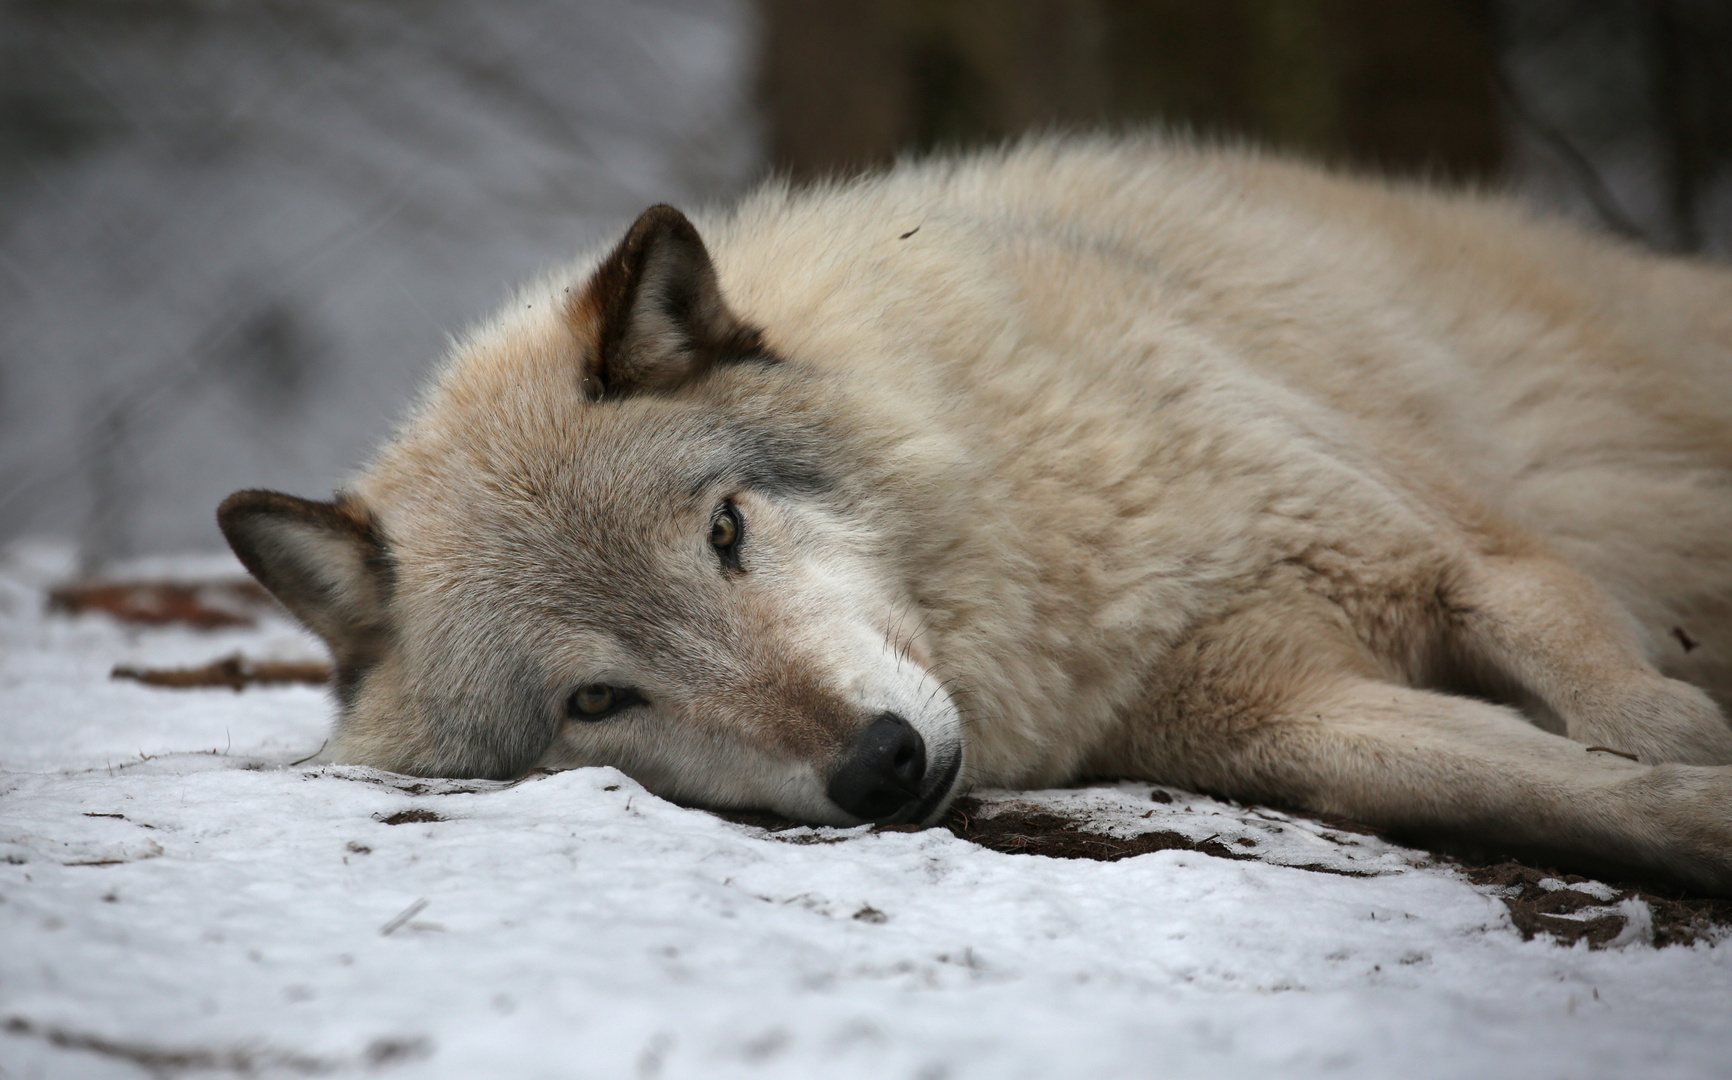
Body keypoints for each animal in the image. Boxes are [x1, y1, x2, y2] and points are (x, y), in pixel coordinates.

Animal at [219, 136, 1732, 886]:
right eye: (597, 701)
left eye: (726, 534)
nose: (880, 766)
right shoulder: (1280, 721)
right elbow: (1549, 790)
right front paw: (1691, 818)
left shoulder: (1443, 553)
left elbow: (1596, 679)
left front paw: (1680, 733)